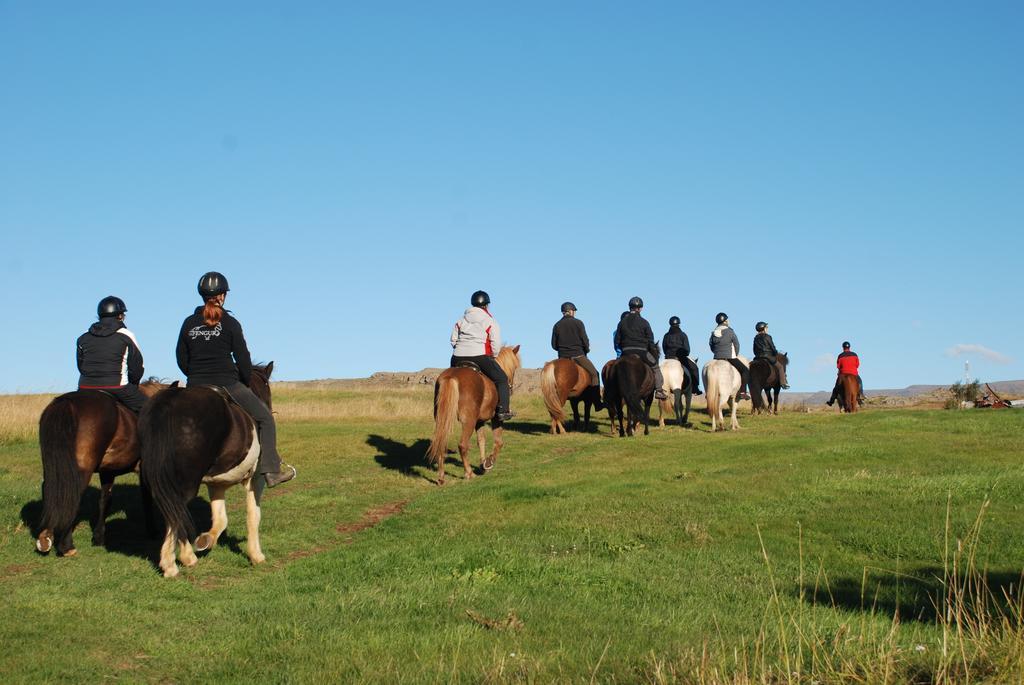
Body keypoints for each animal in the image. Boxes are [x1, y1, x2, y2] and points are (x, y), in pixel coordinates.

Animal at [35, 376, 168, 557]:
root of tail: (67, 402)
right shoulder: (144, 470)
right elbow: (146, 499)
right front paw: (152, 531)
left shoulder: (108, 472)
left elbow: (105, 500)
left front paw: (98, 537)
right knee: (73, 496)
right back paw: (66, 545)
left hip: (53, 468)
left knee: (49, 490)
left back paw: (45, 537)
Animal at [142, 362, 276, 577]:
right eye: (266, 386)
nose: (269, 409)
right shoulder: (256, 478)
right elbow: (253, 515)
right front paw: (256, 555)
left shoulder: (216, 484)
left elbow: (220, 519)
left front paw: (206, 540)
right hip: (184, 482)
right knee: (176, 510)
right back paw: (172, 563)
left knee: (174, 510)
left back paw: (185, 557)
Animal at [423, 344, 520, 483]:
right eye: (515, 367)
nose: (511, 388)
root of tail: (451, 377)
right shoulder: (496, 419)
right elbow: (498, 442)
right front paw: (488, 462)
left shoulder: (479, 421)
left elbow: (481, 440)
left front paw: (483, 464)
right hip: (468, 421)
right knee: (462, 445)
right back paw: (469, 473)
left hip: (442, 419)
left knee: (441, 442)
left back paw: (441, 477)